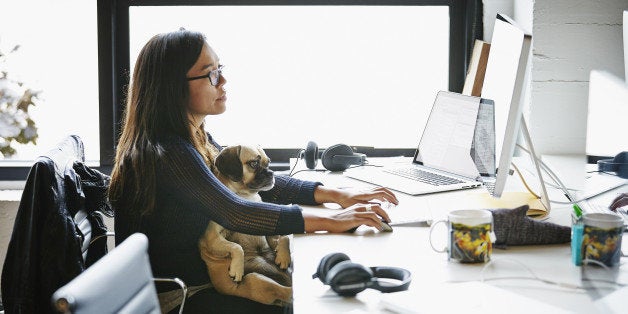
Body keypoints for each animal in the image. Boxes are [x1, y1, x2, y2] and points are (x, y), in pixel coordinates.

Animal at [197, 145, 294, 306]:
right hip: (256, 280)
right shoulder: (212, 237)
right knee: (287, 292)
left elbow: (284, 237)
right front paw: (237, 268)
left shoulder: (270, 230)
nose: (271, 172)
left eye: (268, 163)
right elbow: (237, 247)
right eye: (254, 163)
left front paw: (283, 256)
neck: (245, 196)